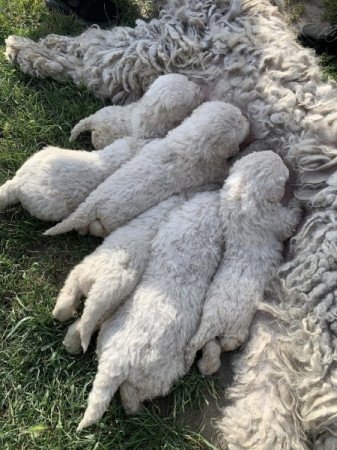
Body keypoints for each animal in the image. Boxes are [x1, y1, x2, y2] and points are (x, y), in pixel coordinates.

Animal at [45, 100, 249, 237]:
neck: (195, 137)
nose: (247, 118)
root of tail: (91, 205)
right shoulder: (210, 168)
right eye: (240, 119)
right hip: (111, 218)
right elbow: (223, 171)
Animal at [185, 151, 300, 376]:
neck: (242, 194)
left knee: (211, 347)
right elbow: (289, 222)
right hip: (236, 324)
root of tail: (210, 322)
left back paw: (207, 365)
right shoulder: (274, 220)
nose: (278, 153)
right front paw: (298, 204)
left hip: (211, 331)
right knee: (227, 342)